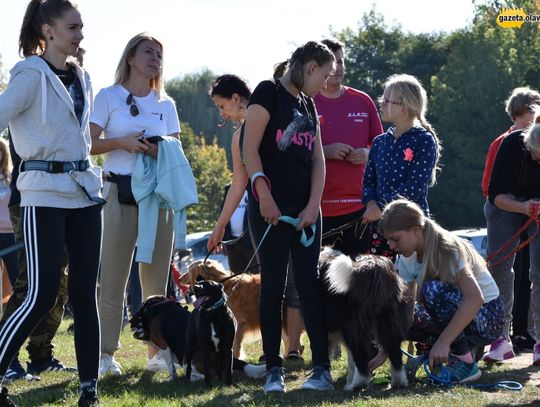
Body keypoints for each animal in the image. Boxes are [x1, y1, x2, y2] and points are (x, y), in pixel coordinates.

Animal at [320, 247, 410, 390]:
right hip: (388, 319)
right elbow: (351, 361)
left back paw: (358, 384)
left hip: (354, 324)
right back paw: (399, 382)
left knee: (361, 354)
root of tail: (372, 267)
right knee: (395, 352)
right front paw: (348, 380)